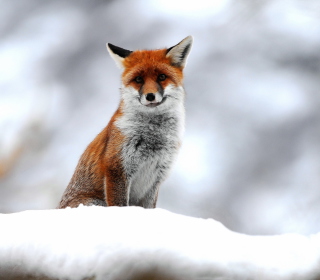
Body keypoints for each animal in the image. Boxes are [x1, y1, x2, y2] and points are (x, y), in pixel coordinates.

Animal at [57, 36, 192, 209]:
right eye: (138, 79)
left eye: (162, 77)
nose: (150, 96)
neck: (153, 137)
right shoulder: (117, 168)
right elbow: (119, 205)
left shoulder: (156, 177)